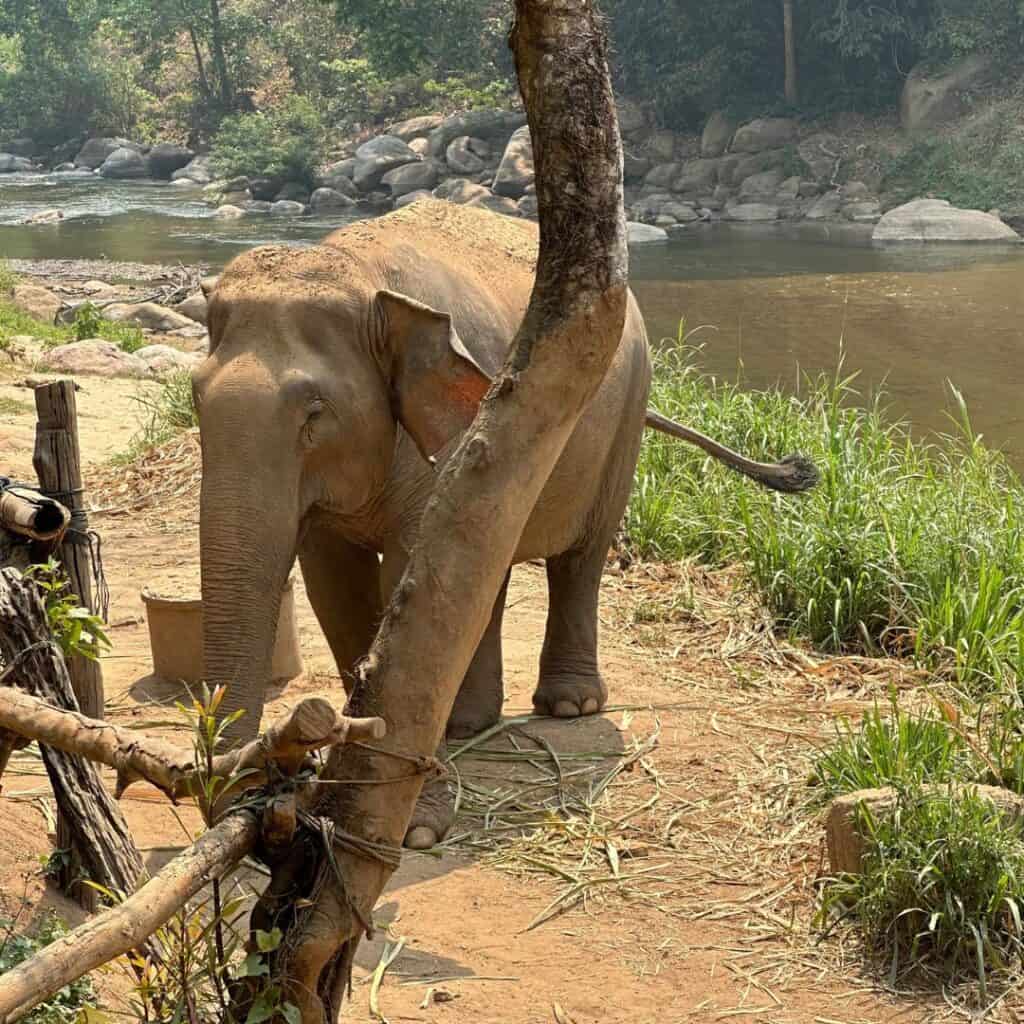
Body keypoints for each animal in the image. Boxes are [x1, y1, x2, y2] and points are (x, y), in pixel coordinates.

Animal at [193, 197, 815, 847]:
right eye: (193, 396)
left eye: (314, 413)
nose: (242, 803)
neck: (365, 279)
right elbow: (337, 589)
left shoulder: (449, 439)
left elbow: (410, 582)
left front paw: (413, 829)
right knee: (486, 571)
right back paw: (468, 724)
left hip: (625, 418)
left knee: (581, 558)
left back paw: (569, 706)